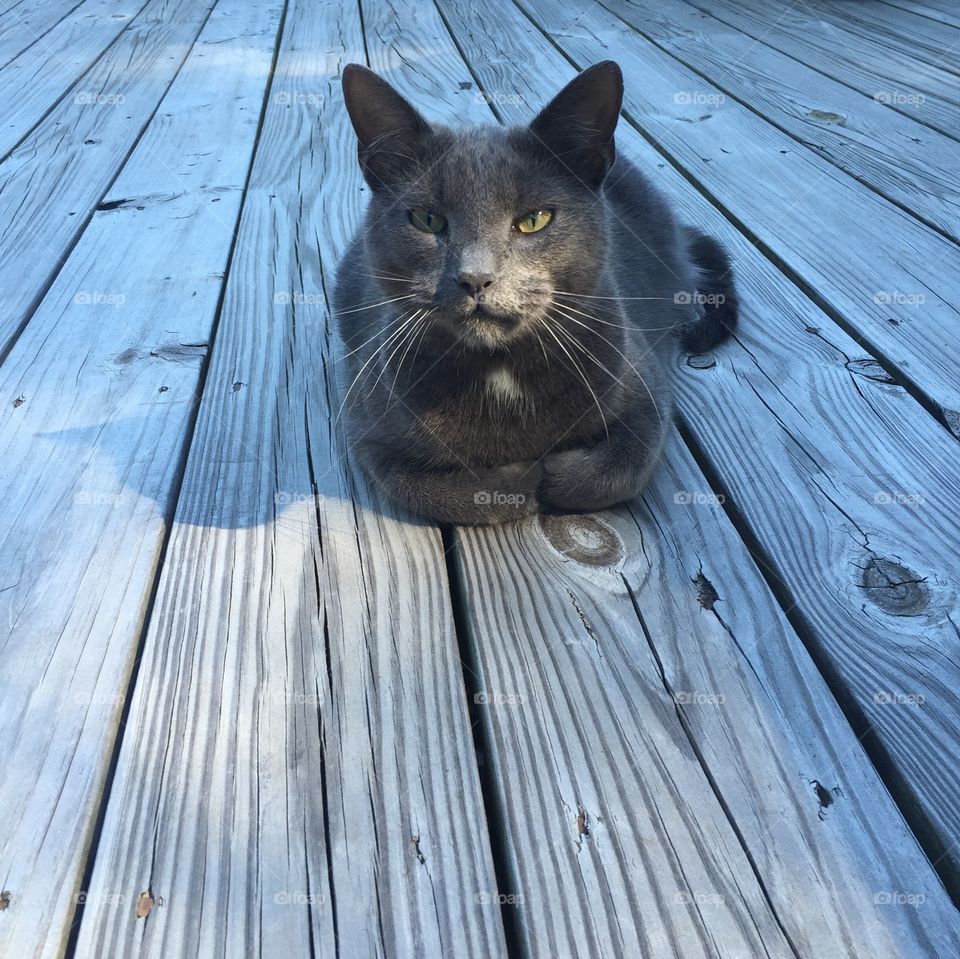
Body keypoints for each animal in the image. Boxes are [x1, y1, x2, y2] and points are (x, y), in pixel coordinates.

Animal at [334, 62, 740, 524]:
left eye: (534, 219)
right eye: (426, 219)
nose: (475, 277)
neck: (500, 372)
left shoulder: (647, 388)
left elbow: (623, 466)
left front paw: (556, 472)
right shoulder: (365, 426)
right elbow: (420, 487)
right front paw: (518, 479)